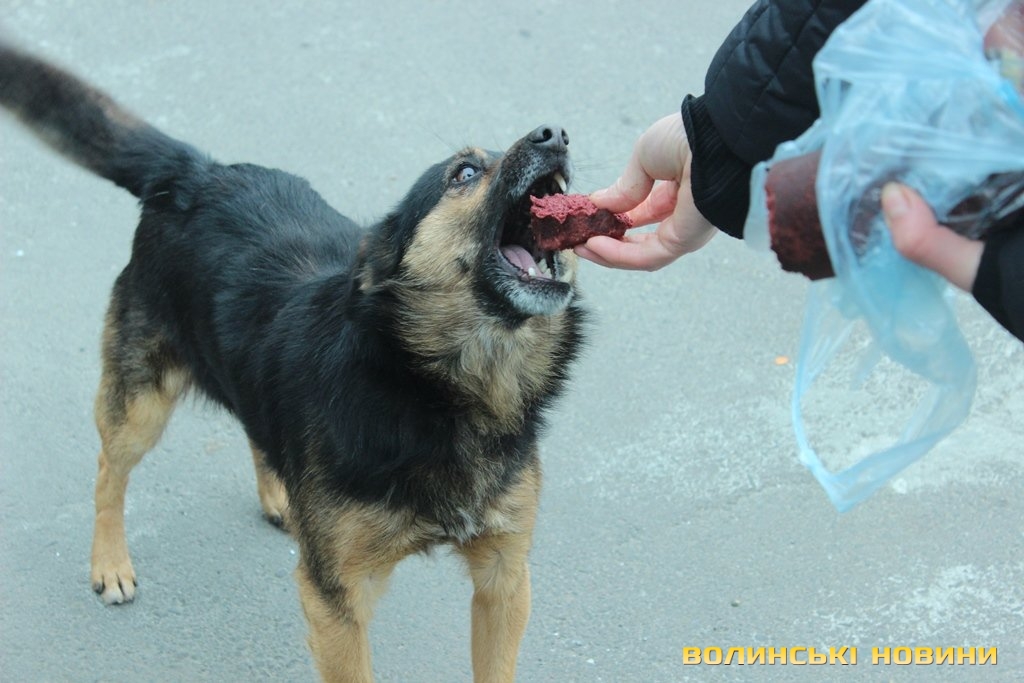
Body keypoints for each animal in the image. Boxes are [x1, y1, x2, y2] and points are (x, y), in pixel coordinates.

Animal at [0, 41, 584, 682]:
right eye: (465, 173)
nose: (556, 134)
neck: (435, 387)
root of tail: (197, 173)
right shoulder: (336, 599)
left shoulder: (504, 577)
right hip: (141, 404)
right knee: (110, 466)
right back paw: (109, 562)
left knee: (257, 426)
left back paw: (280, 494)